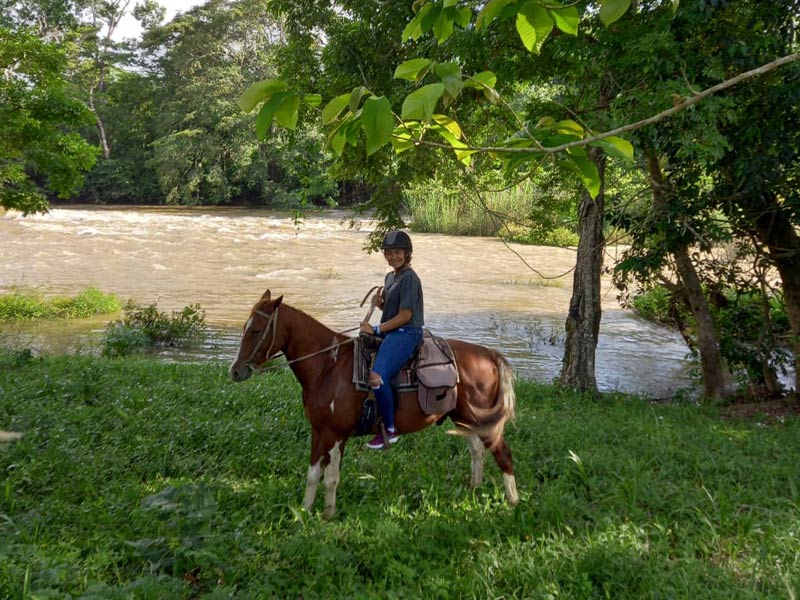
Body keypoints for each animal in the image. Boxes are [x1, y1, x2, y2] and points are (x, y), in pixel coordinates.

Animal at [231, 290, 520, 520]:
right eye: (245, 327)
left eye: (256, 330)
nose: (235, 371)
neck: (328, 367)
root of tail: (489, 355)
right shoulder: (318, 431)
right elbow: (313, 474)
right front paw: (304, 511)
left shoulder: (336, 434)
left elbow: (331, 478)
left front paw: (328, 516)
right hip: (463, 418)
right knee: (477, 451)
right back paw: (474, 489)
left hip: (483, 421)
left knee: (502, 453)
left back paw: (513, 504)